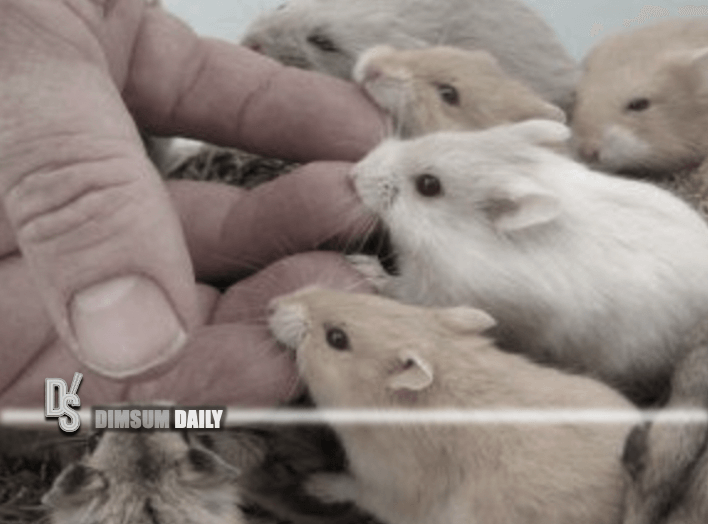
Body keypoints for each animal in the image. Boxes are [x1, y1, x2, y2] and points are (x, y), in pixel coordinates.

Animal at [268, 287, 636, 524]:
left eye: (336, 338)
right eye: (375, 299)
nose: (271, 304)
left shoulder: (389, 487)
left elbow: (352, 488)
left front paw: (314, 484)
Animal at [349, 119, 708, 404]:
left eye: (428, 186)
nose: (353, 174)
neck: (459, 238)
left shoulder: (438, 293)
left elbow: (399, 289)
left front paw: (363, 267)